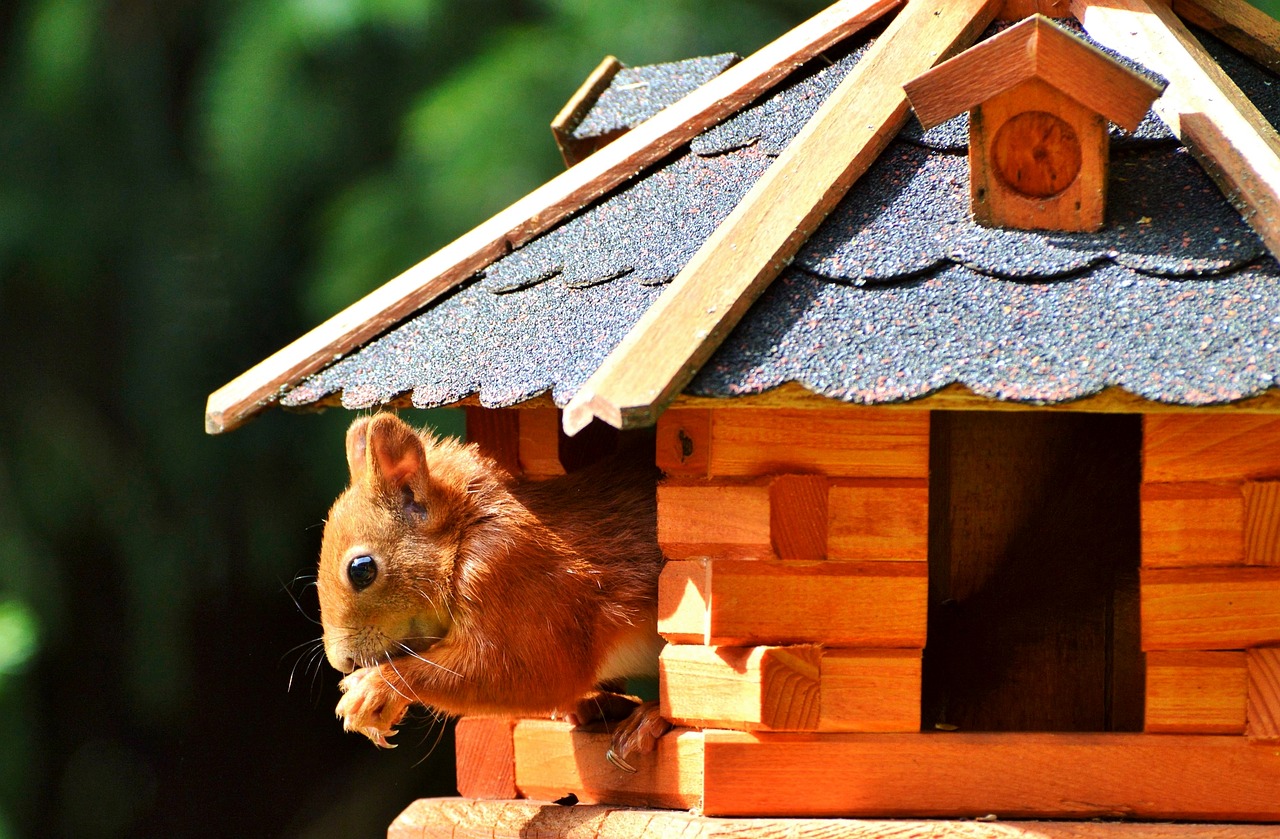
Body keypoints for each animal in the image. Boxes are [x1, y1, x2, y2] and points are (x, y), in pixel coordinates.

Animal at [318, 409, 670, 773]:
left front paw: (374, 686)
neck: (464, 535)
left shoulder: (521, 580)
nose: (343, 661)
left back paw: (649, 718)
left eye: (361, 570)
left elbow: (526, 674)